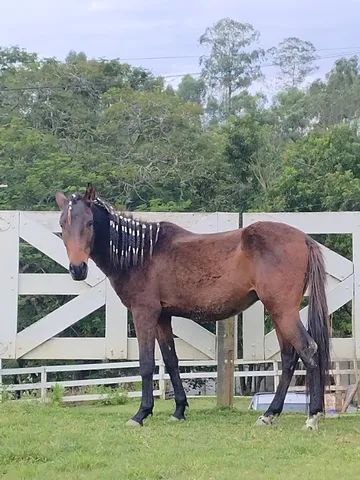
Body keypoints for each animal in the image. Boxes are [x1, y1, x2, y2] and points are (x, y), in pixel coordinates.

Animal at [55, 186, 330, 430]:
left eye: (90, 223)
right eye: (62, 225)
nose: (77, 269)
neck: (142, 254)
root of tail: (304, 238)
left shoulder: (144, 313)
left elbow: (146, 363)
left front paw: (141, 413)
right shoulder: (162, 317)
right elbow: (171, 361)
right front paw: (178, 410)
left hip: (283, 311)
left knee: (308, 350)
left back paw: (312, 417)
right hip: (279, 313)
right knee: (289, 358)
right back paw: (269, 414)